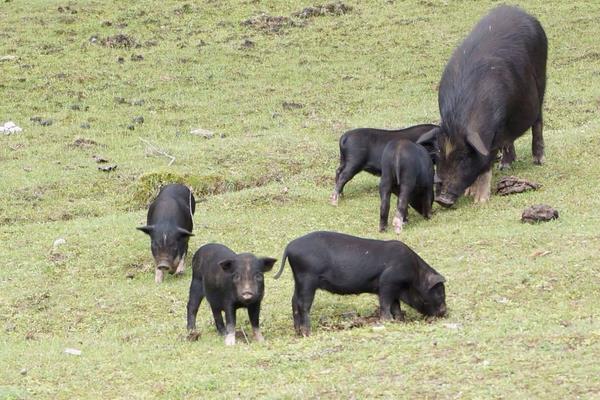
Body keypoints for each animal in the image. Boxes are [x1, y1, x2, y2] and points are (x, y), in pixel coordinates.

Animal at [274, 231, 448, 338]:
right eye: (440, 291)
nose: (444, 312)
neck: (415, 274)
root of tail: (289, 247)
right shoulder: (387, 283)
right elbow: (386, 303)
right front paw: (388, 321)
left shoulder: (394, 289)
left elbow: (396, 305)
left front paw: (400, 320)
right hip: (307, 278)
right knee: (303, 304)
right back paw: (308, 333)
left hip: (299, 280)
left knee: (294, 301)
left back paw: (298, 333)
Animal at [434, 6, 548, 206]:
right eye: (439, 155)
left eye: (463, 159)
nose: (442, 199)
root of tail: (519, 11)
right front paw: (470, 193)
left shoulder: (496, 132)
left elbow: (487, 160)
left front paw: (480, 200)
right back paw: (505, 166)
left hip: (542, 78)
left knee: (538, 121)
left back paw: (538, 160)